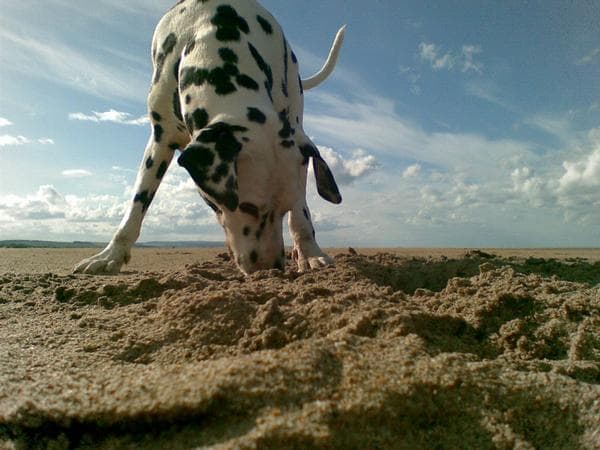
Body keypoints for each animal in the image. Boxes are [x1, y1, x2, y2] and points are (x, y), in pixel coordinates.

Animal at [74, 0, 346, 276]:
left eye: (282, 210)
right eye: (247, 207)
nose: (270, 268)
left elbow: (300, 211)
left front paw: (309, 252)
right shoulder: (160, 139)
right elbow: (136, 207)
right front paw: (110, 256)